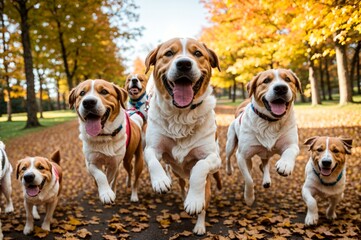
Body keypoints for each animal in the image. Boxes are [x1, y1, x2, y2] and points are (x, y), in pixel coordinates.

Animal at [143, 37, 222, 234]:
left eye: (198, 53)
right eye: (169, 53)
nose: (184, 64)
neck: (181, 114)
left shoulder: (213, 157)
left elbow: (200, 166)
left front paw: (193, 200)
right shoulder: (152, 147)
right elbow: (152, 159)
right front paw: (160, 180)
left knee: (203, 204)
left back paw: (199, 222)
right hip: (177, 174)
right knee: (181, 184)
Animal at [225, 68, 300, 205]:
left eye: (287, 79)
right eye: (266, 80)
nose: (281, 88)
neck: (270, 122)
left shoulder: (292, 144)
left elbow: (289, 151)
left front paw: (285, 164)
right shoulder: (242, 156)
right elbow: (249, 180)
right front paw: (249, 197)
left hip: (265, 153)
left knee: (263, 164)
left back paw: (266, 180)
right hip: (231, 143)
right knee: (228, 157)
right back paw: (229, 170)